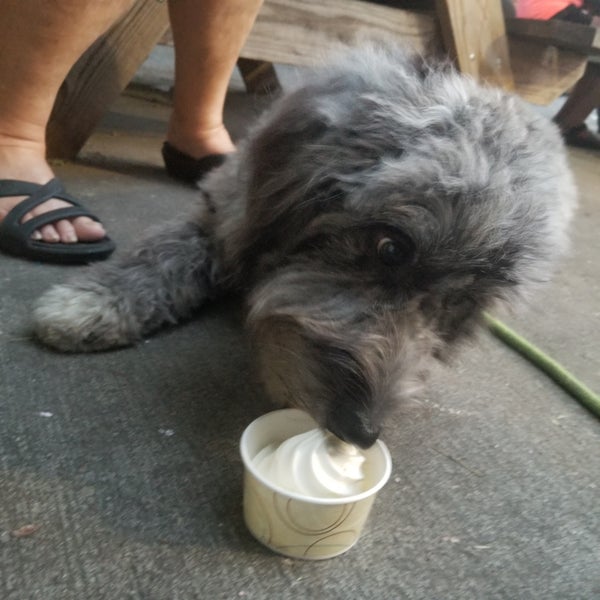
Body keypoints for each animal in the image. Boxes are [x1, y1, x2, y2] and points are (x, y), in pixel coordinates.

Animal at [32, 47, 576, 448]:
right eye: (391, 249)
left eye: (458, 305)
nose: (363, 431)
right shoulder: (222, 215)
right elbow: (161, 252)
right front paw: (93, 301)